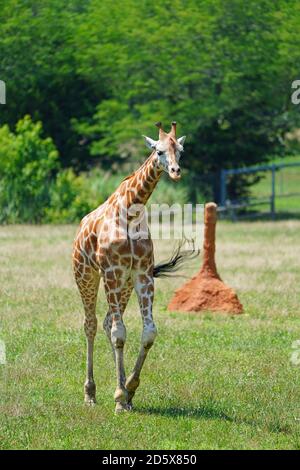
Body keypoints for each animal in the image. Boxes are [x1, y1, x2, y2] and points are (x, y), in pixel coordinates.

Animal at [72, 121, 185, 412]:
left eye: (180, 150)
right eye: (158, 151)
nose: (175, 171)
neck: (131, 211)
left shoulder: (142, 274)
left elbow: (147, 333)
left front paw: (129, 390)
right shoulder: (111, 272)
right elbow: (119, 334)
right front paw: (120, 397)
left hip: (123, 286)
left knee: (107, 323)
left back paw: (120, 388)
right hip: (86, 275)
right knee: (91, 324)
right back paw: (90, 393)